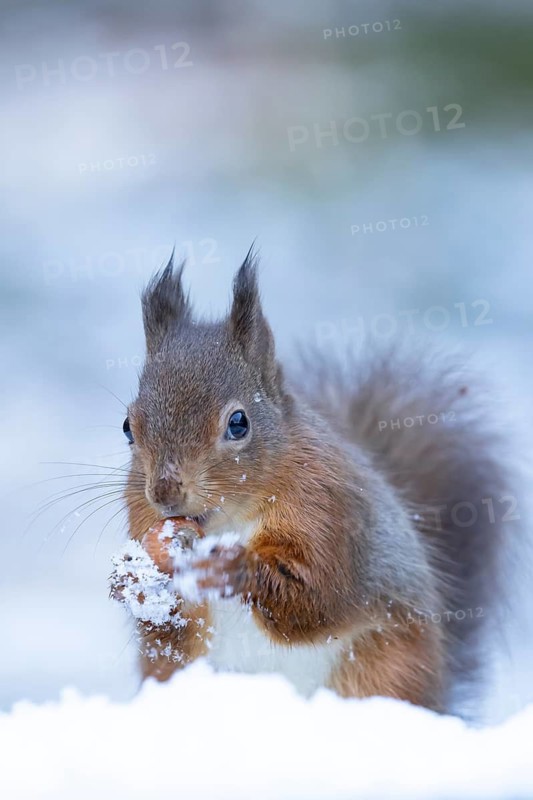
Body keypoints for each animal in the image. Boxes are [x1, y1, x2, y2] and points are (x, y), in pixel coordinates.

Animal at [113, 249, 515, 713]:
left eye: (238, 423)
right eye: (127, 427)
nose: (164, 492)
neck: (232, 521)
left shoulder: (330, 512)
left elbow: (318, 598)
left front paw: (235, 568)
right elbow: (170, 628)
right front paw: (131, 581)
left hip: (388, 668)